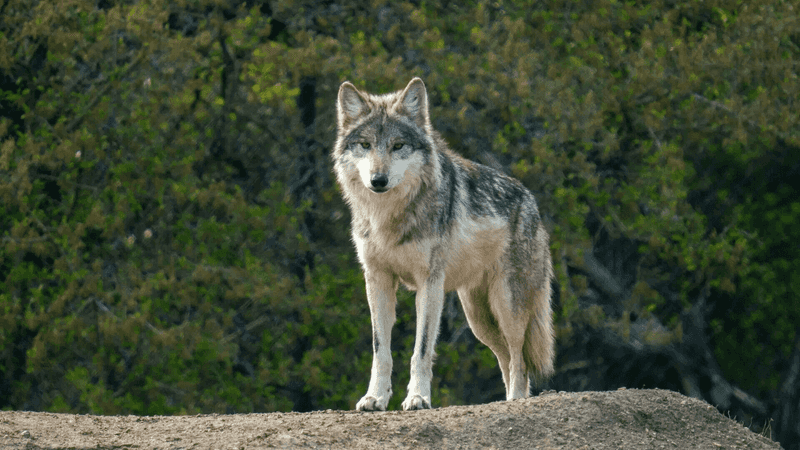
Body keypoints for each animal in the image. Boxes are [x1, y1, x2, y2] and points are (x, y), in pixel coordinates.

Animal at [334, 78, 552, 412]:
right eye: (366, 145)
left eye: (398, 146)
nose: (378, 180)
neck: (388, 217)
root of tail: (531, 201)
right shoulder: (378, 280)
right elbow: (380, 349)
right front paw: (375, 398)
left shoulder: (430, 283)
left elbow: (421, 349)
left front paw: (418, 397)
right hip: (479, 319)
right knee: (505, 358)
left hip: (507, 306)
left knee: (519, 359)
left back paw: (516, 400)